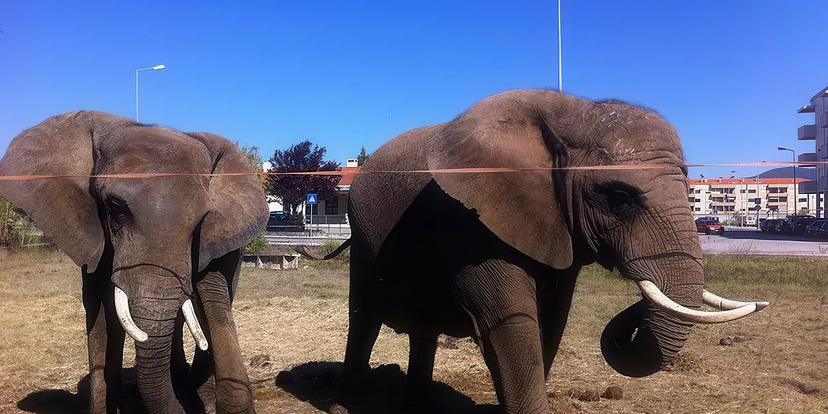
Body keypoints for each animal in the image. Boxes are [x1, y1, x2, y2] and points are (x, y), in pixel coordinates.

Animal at [331, 90, 768, 413]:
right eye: (620, 199)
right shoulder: (470, 222)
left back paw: (421, 404)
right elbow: (510, 321)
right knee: (363, 317)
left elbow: (553, 318)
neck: (572, 114)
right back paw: (346, 402)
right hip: (363, 229)